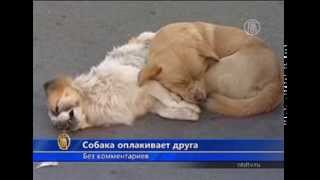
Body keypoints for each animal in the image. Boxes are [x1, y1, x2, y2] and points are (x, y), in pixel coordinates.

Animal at [42, 32, 200, 131]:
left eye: (56, 108)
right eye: (57, 126)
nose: (61, 126)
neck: (93, 100)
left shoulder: (143, 81)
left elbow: (170, 100)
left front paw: (188, 105)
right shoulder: (150, 103)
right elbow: (166, 111)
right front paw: (189, 113)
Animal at [138, 21, 282, 116]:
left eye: (201, 73)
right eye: (180, 83)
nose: (200, 98)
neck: (171, 38)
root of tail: (277, 81)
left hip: (215, 72)